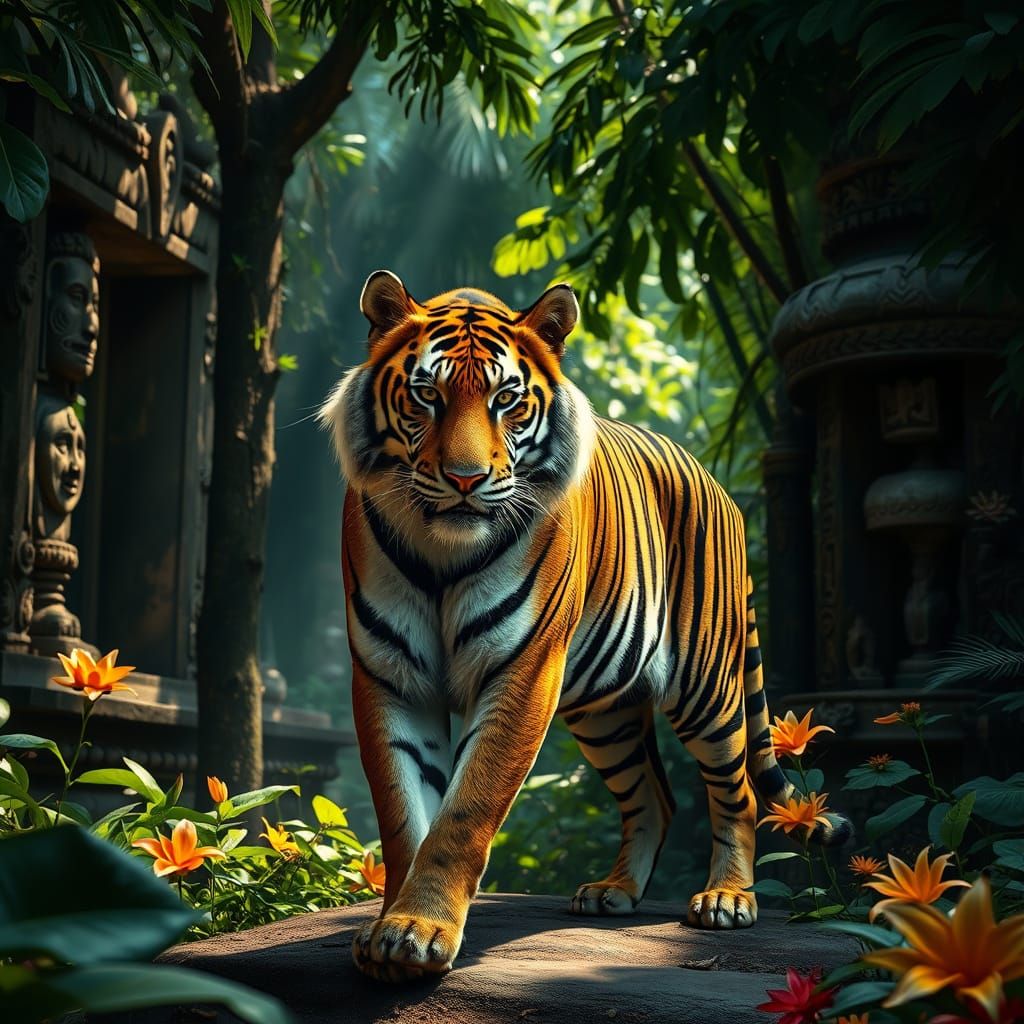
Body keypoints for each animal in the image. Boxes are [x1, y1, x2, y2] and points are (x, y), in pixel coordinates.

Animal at [319, 270, 850, 983]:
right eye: (427, 394)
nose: (465, 480)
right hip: (605, 712)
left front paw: (419, 929)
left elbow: (464, 810)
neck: (441, 553)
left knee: (735, 789)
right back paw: (614, 892)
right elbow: (405, 816)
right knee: (654, 796)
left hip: (705, 689)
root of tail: (719, 486)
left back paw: (727, 899)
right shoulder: (390, 676)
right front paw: (390, 930)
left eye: (506, 399)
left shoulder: (519, 674)